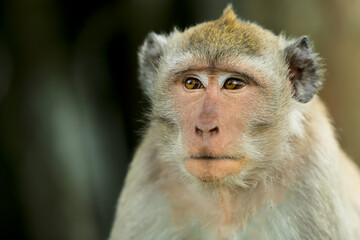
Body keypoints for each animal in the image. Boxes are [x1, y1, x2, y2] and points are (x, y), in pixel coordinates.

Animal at [109, 5, 360, 240]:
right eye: (192, 83)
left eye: (232, 84)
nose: (205, 127)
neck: (225, 196)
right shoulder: (148, 175)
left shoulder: (313, 178)